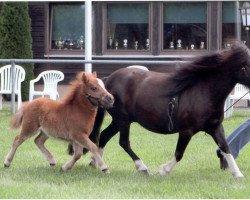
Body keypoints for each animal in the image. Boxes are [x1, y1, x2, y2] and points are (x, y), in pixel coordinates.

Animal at [69, 42, 249, 178]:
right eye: (247, 64)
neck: (202, 91)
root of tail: (107, 82)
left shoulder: (215, 127)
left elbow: (226, 147)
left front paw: (237, 174)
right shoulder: (187, 130)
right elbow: (179, 153)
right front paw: (163, 170)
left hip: (119, 121)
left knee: (104, 136)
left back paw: (97, 163)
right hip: (123, 120)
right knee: (123, 142)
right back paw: (141, 167)